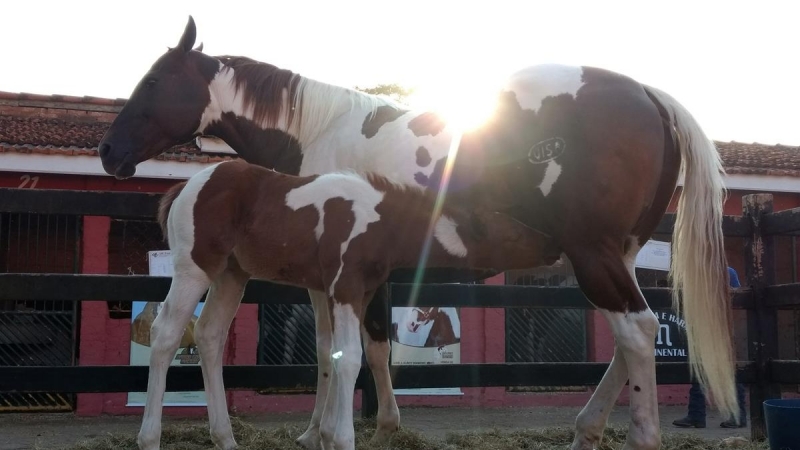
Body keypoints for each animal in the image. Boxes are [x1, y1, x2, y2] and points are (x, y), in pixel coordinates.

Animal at [141, 159, 560, 450]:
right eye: (512, 228)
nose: (554, 248)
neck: (380, 220)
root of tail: (184, 188)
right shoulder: (344, 287)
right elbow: (349, 357)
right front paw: (340, 437)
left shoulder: (363, 292)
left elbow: (359, 353)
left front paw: (339, 432)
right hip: (194, 269)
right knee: (165, 334)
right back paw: (150, 438)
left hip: (232, 275)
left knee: (210, 335)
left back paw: (226, 438)